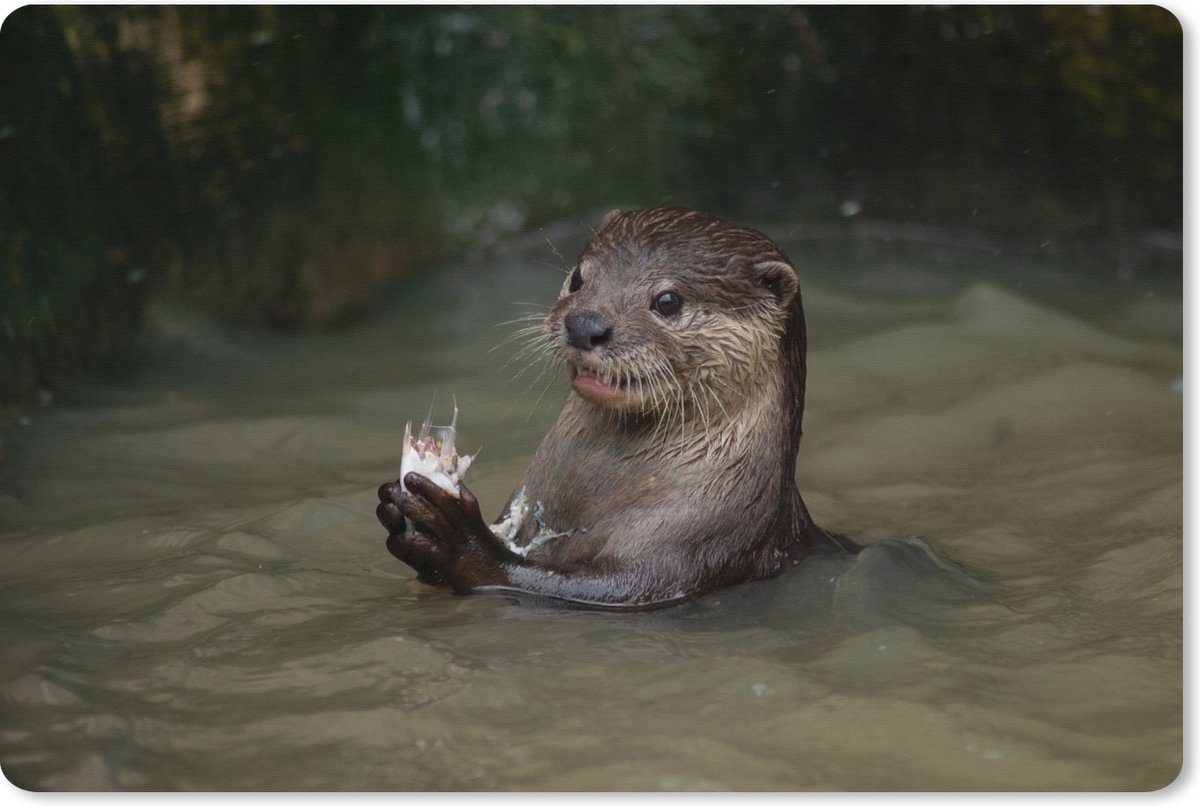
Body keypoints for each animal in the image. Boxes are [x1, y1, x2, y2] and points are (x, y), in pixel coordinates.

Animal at [376, 207, 854, 610]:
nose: (584, 324)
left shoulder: (700, 539)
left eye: (668, 301)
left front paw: (457, 538)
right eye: (578, 279)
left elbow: (603, 587)